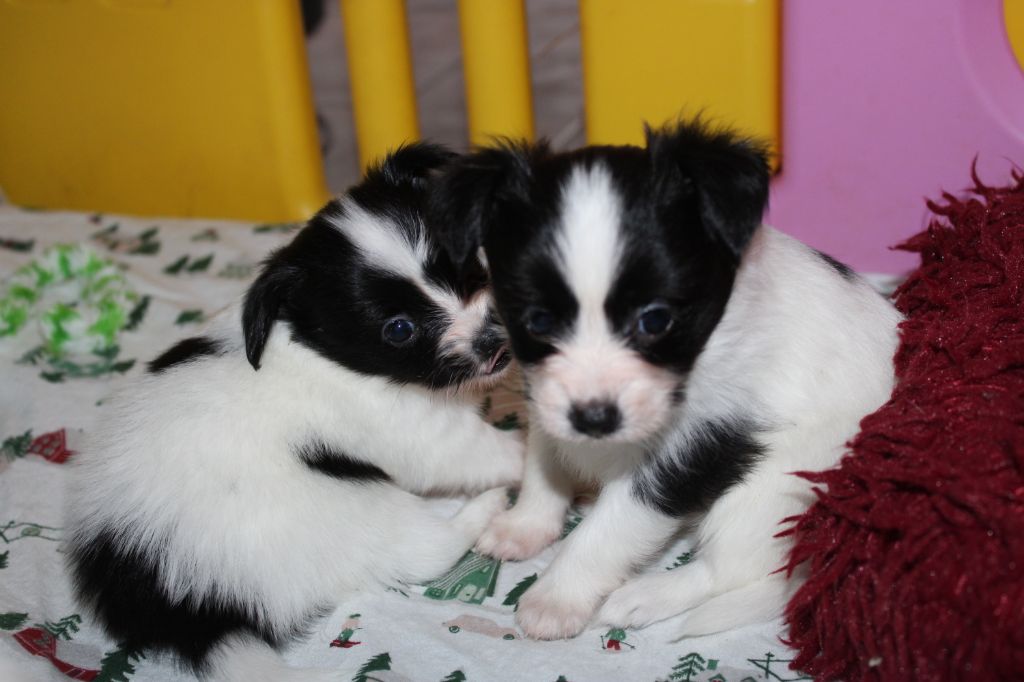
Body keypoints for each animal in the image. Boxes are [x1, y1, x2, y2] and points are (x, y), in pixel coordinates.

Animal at [68, 142, 524, 675]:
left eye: (468, 269)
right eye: (399, 330)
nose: (494, 343)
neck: (315, 346)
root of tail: (173, 602)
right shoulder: (419, 434)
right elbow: (483, 451)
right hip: (353, 513)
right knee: (426, 550)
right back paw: (486, 506)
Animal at [428, 120, 901, 638]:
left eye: (655, 320)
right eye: (538, 321)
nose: (594, 418)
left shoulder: (695, 447)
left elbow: (609, 530)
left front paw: (555, 598)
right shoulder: (545, 397)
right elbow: (544, 462)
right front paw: (526, 524)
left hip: (774, 490)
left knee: (731, 571)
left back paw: (644, 596)